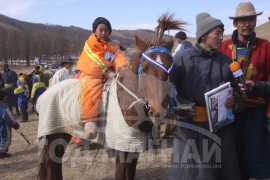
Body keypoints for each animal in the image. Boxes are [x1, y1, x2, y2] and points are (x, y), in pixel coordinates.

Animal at [37, 13, 186, 180]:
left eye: (170, 66)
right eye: (145, 69)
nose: (159, 110)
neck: (127, 101)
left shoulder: (133, 145)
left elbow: (130, 174)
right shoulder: (121, 146)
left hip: (63, 133)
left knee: (55, 159)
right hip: (52, 133)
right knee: (50, 160)